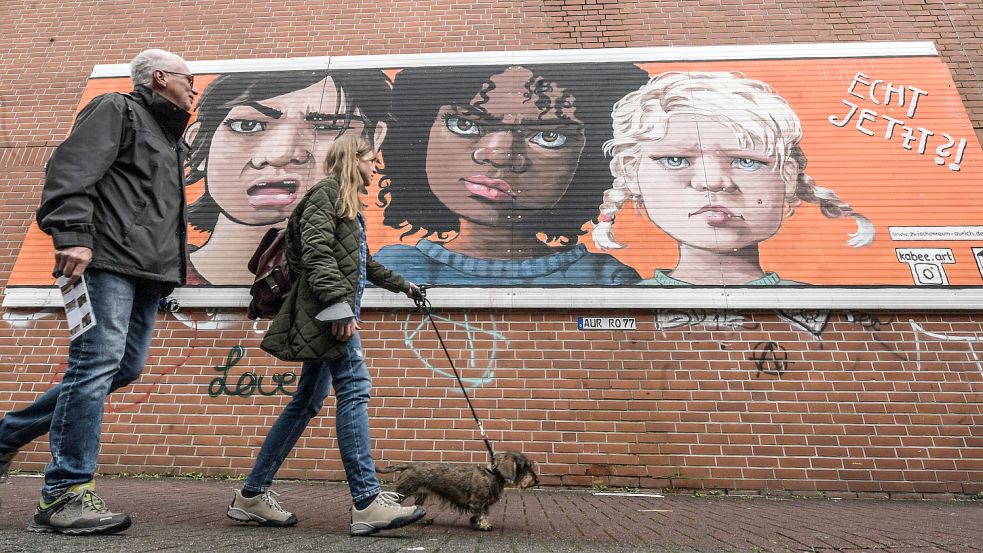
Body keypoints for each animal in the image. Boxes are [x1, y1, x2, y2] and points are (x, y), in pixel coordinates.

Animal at [380, 452, 540, 532]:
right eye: (525, 466)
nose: (537, 480)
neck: (492, 475)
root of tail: (409, 465)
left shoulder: (484, 505)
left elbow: (482, 514)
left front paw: (477, 523)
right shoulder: (476, 503)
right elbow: (482, 514)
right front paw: (484, 525)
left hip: (421, 495)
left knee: (417, 506)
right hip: (403, 491)